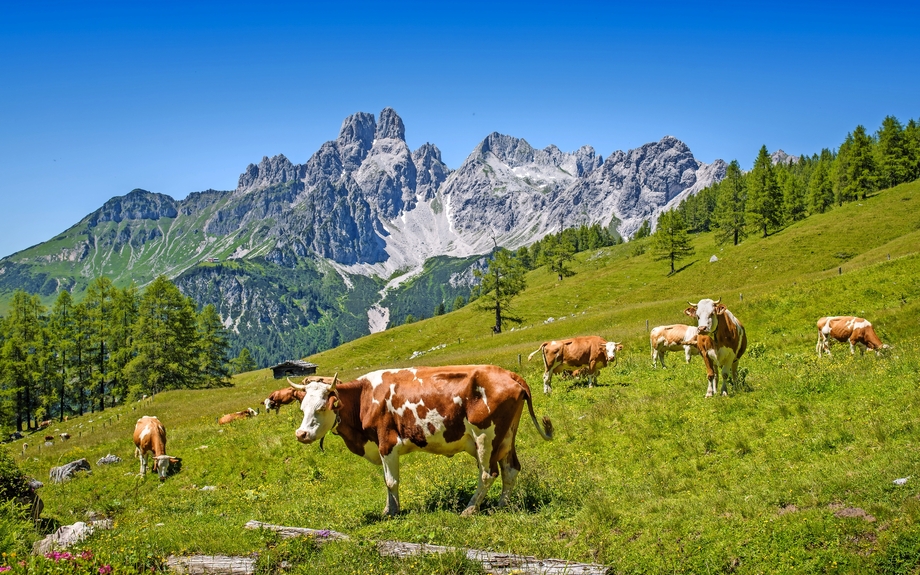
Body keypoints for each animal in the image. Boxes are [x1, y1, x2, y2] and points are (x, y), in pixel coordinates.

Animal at [294, 368, 552, 516]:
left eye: (321, 407)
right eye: (302, 408)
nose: (301, 434)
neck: (365, 397)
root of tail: (509, 374)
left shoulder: (387, 443)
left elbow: (390, 481)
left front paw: (393, 512)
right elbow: (386, 482)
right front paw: (388, 509)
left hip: (486, 437)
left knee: (489, 474)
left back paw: (469, 509)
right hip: (506, 437)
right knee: (510, 470)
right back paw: (501, 505)